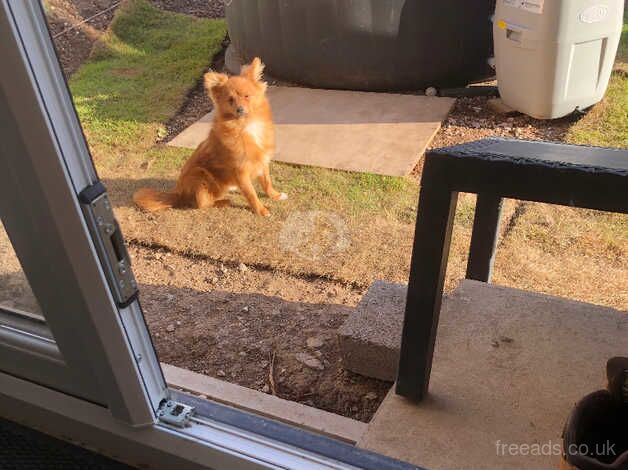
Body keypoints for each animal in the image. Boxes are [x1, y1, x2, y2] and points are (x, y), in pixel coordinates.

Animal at [136, 57, 288, 217]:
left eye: (247, 96)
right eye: (230, 100)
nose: (239, 109)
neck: (245, 124)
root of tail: (178, 194)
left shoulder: (262, 160)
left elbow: (267, 182)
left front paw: (275, 195)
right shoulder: (241, 170)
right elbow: (251, 194)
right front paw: (261, 210)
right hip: (201, 176)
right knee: (202, 204)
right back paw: (224, 201)